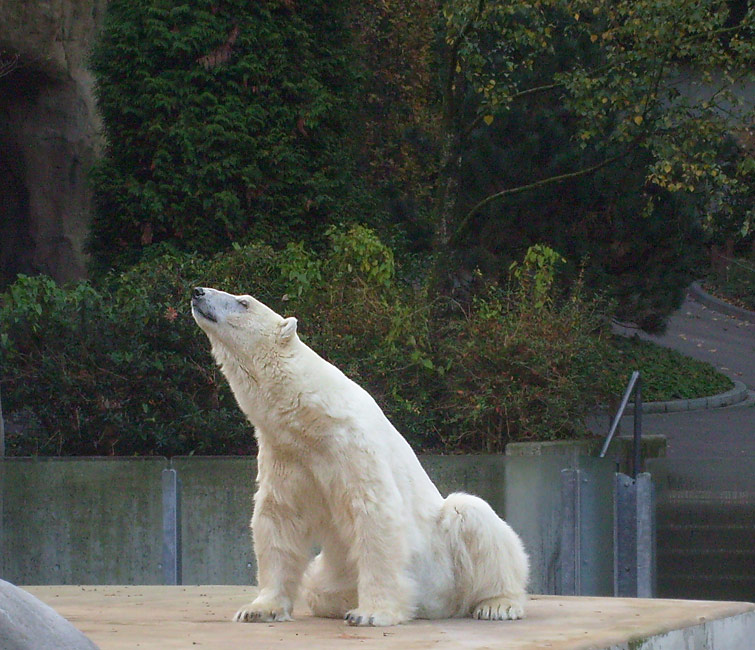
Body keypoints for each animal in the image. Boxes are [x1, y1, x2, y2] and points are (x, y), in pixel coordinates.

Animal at [192, 288, 528, 624]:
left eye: (243, 302)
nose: (198, 292)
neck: (311, 419)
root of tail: (442, 607)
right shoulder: (286, 454)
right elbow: (279, 517)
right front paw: (259, 609)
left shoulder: (351, 444)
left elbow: (373, 512)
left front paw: (370, 613)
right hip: (334, 574)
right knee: (317, 589)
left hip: (445, 561)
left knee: (474, 515)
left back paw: (498, 604)